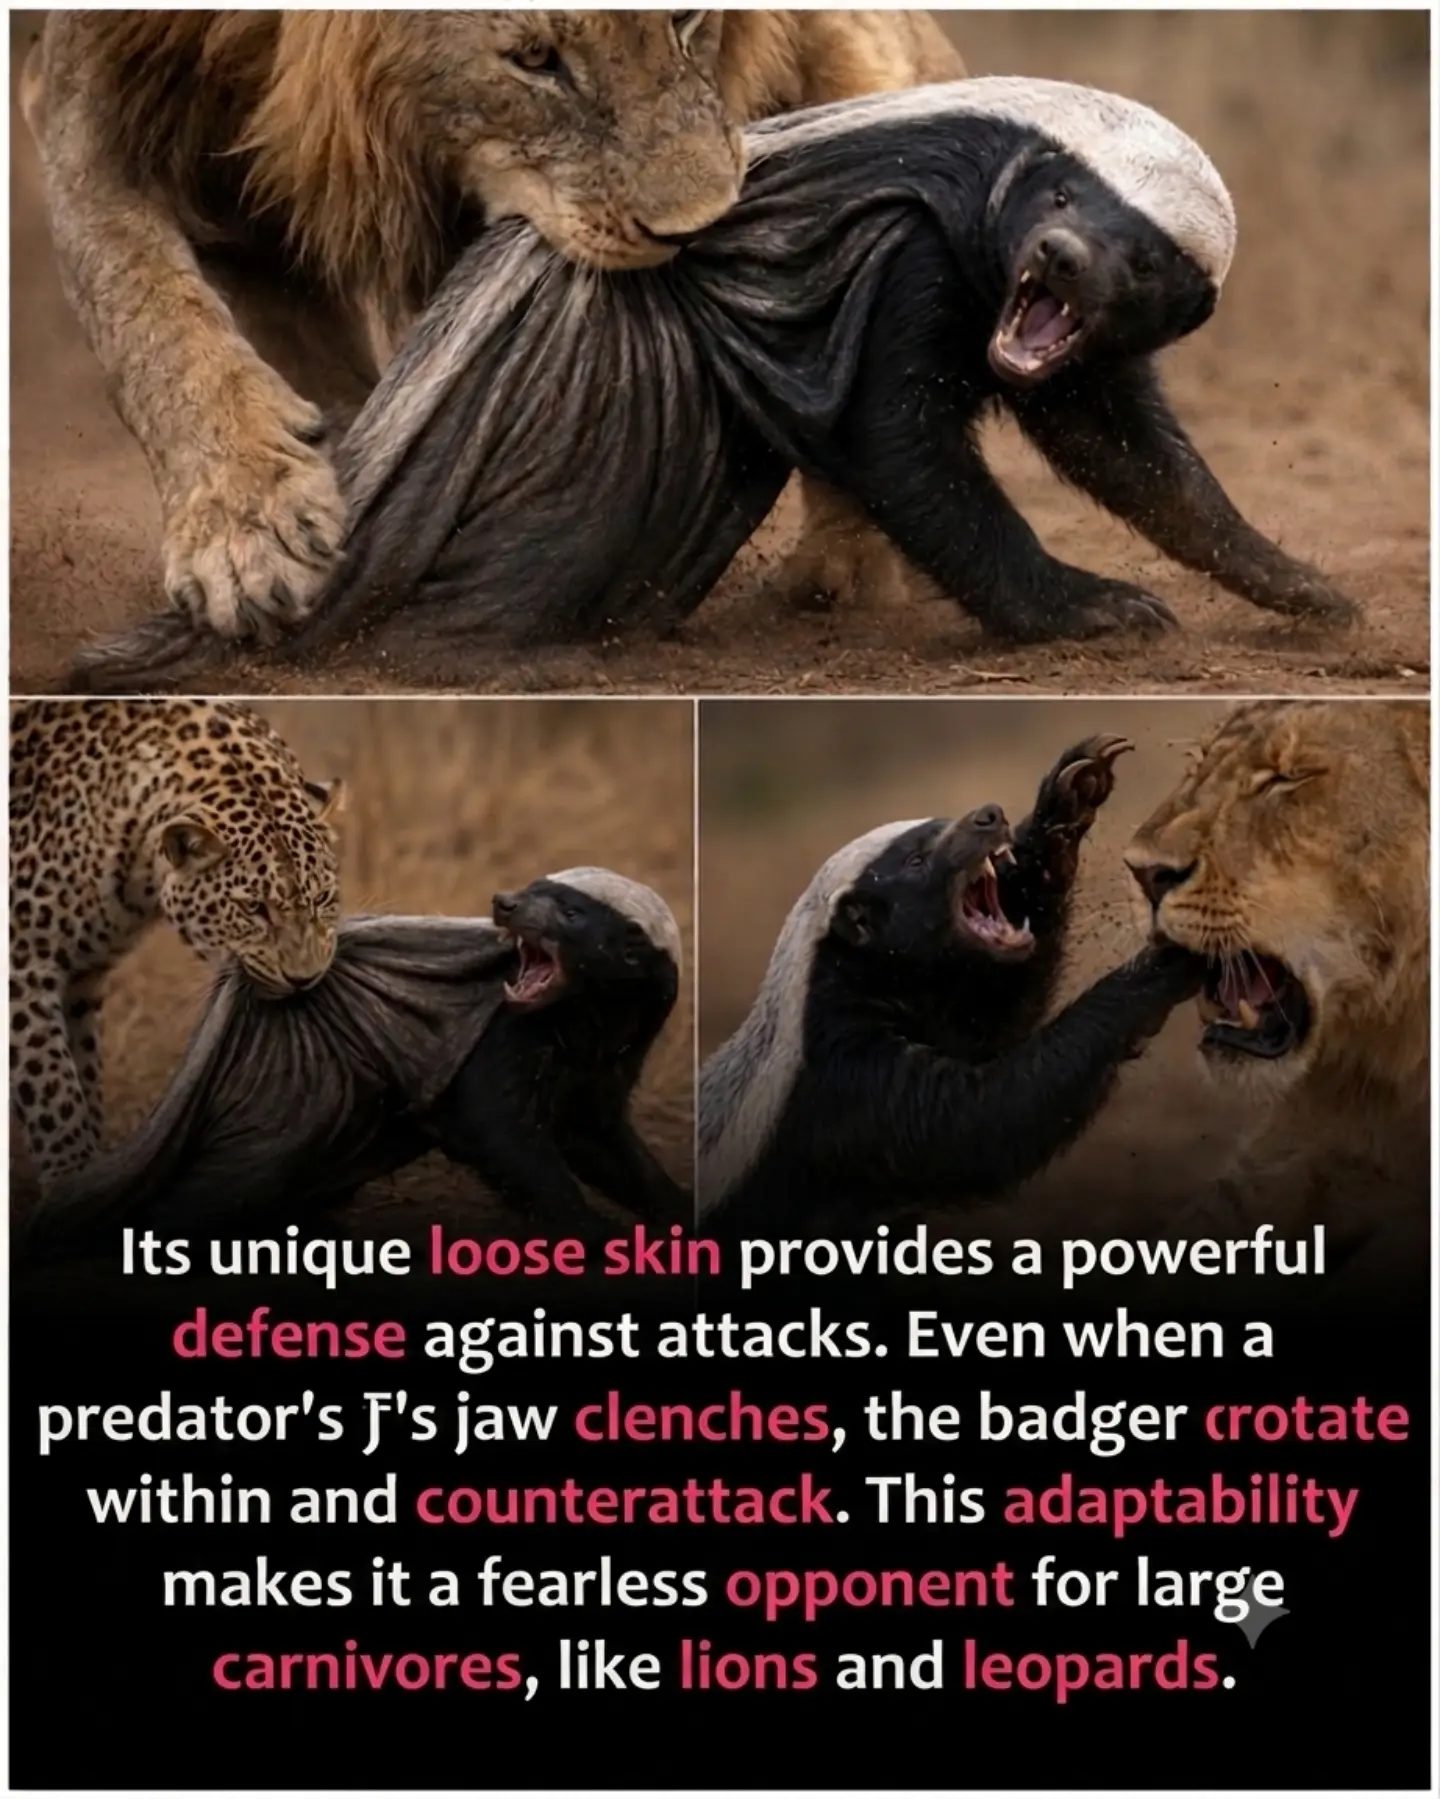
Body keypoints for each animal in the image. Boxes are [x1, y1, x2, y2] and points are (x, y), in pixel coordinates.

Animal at [22, 10, 962, 644]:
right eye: (535, 59)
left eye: (686, 19)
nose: (698, 228)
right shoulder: (90, 94)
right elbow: (147, 315)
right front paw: (249, 526)